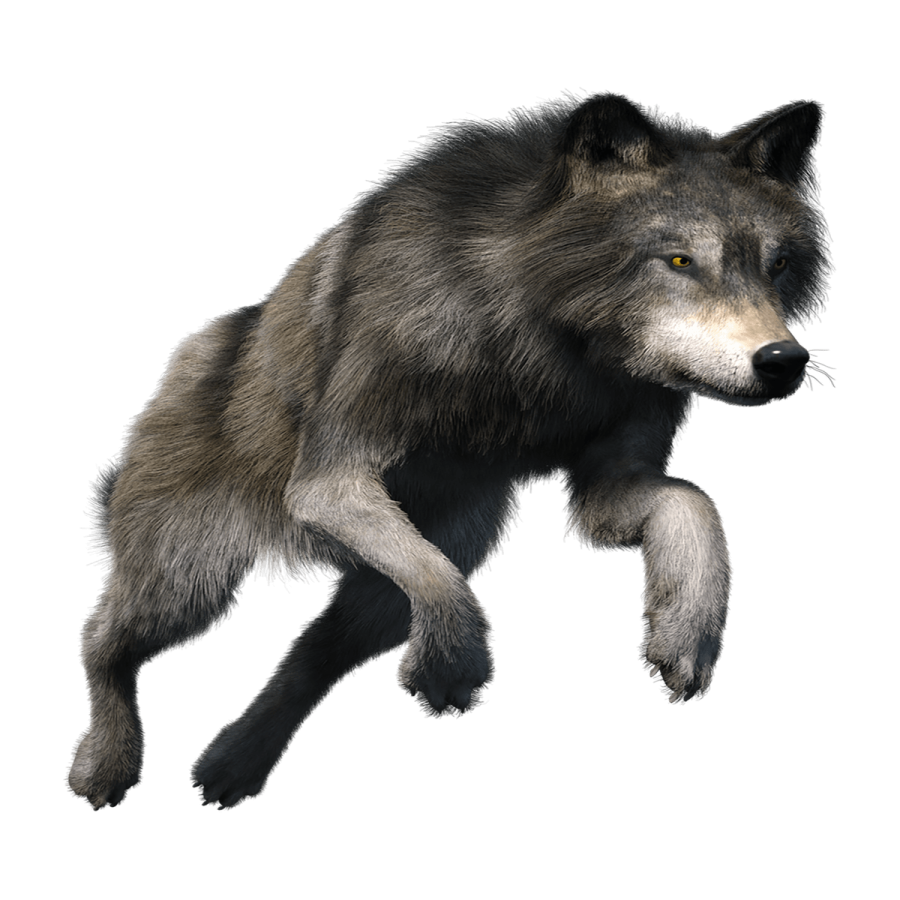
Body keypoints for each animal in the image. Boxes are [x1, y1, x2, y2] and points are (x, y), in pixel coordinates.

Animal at [68, 93, 830, 810]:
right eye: (679, 261)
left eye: (778, 265)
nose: (782, 360)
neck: (537, 347)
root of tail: (186, 356)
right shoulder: (331, 478)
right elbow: (439, 586)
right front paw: (452, 668)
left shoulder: (607, 491)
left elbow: (696, 504)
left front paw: (685, 635)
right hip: (186, 593)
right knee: (102, 645)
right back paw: (105, 770)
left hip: (413, 574)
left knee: (312, 654)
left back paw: (232, 766)